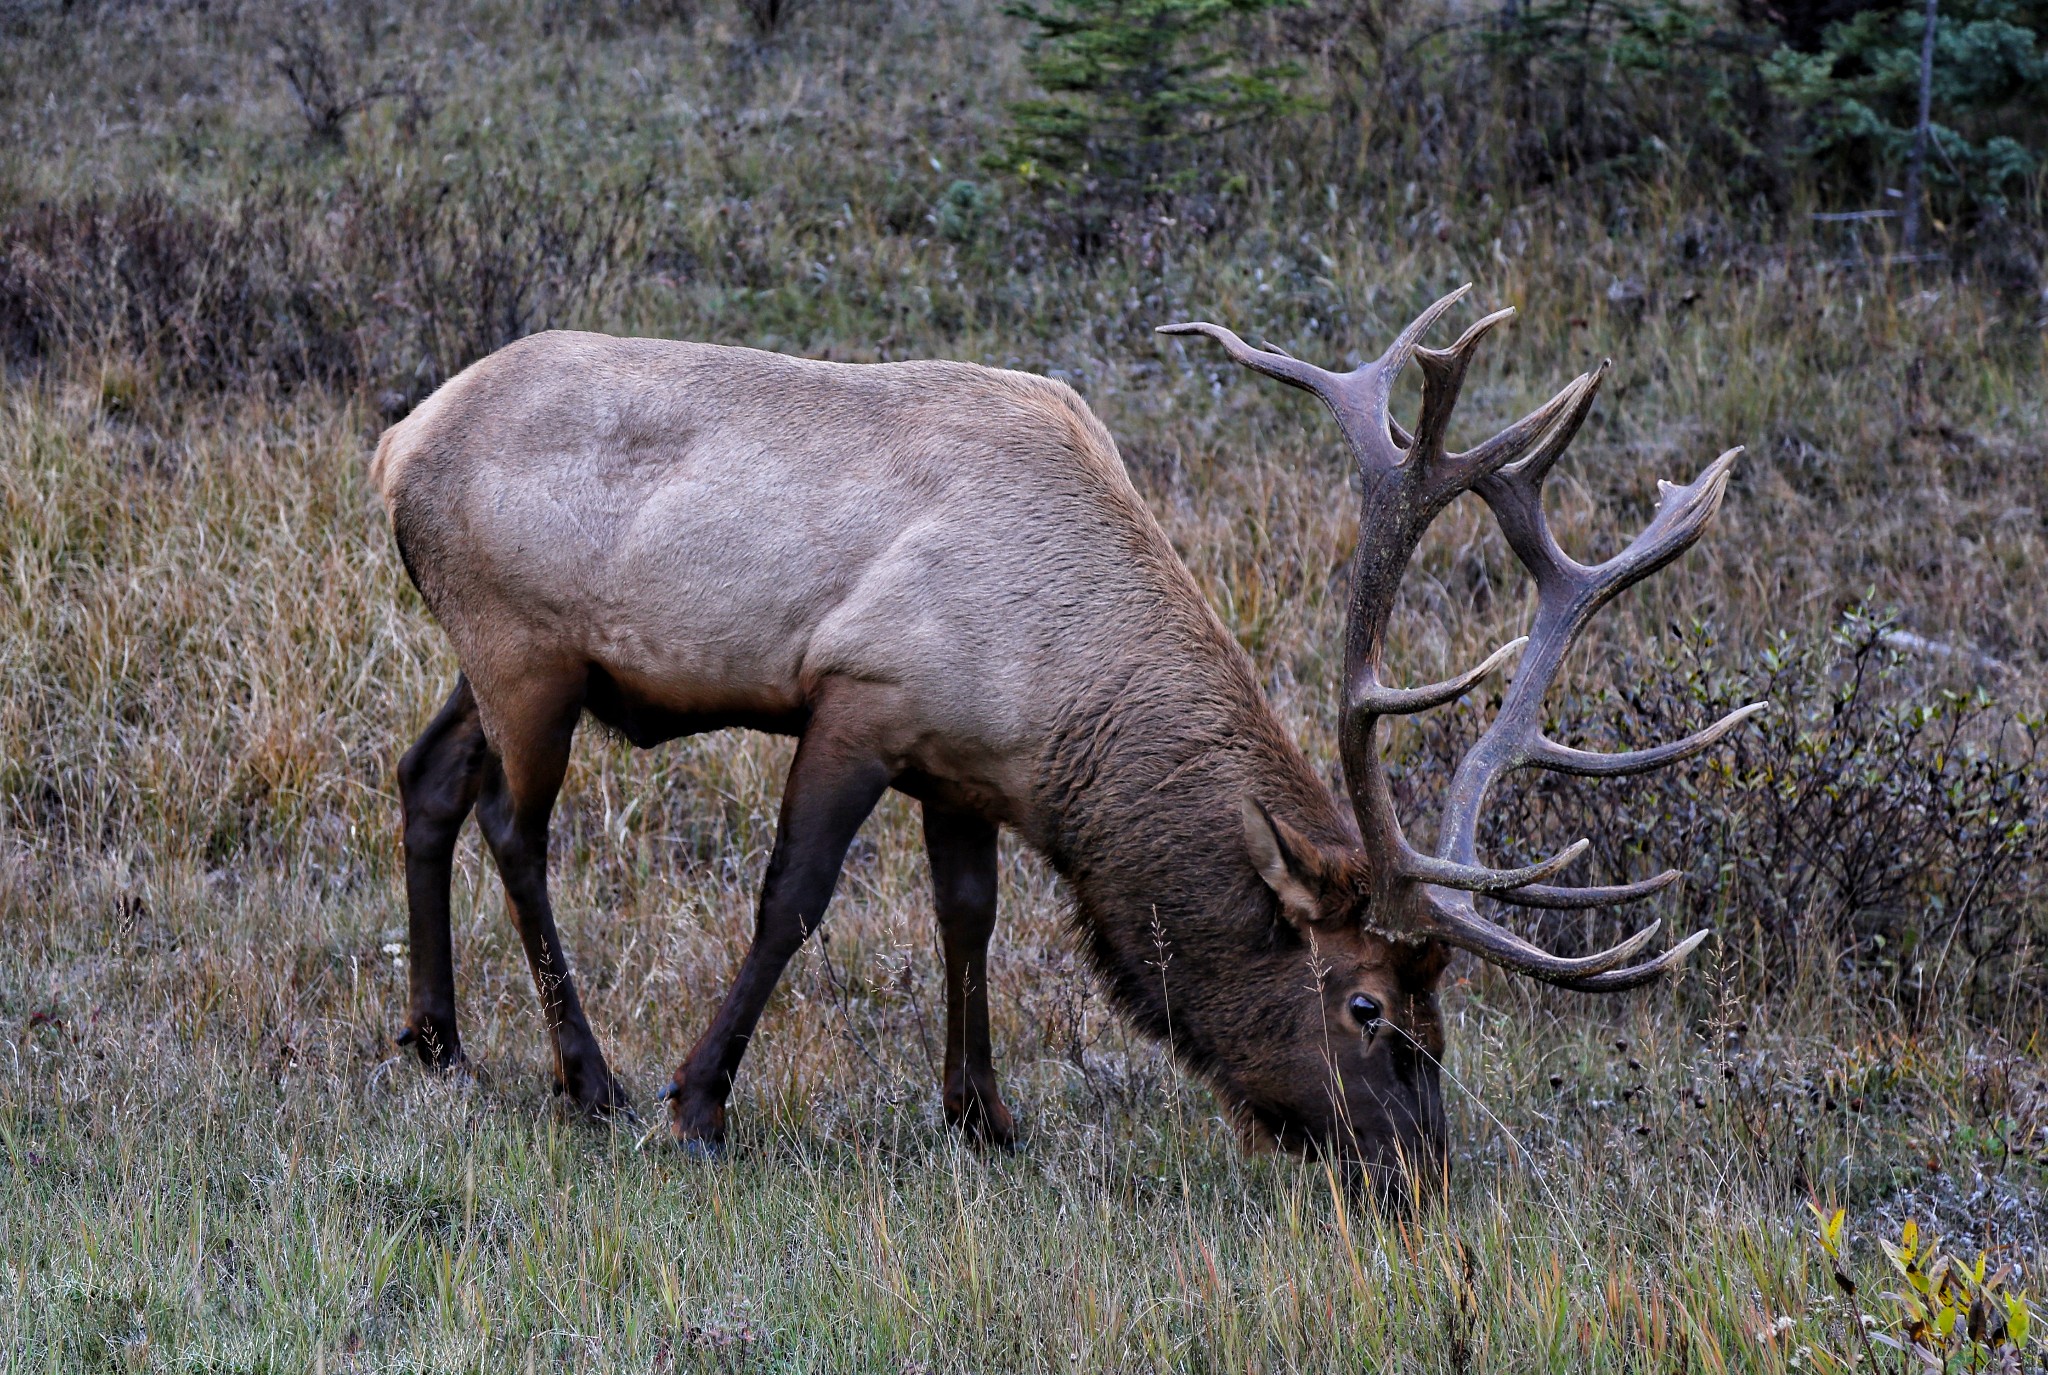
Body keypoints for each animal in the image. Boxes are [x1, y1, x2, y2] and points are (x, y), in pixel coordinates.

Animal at [368, 286, 1761, 1180]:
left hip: (493, 661)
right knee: (514, 825)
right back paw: (588, 1078)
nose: (1418, 1173)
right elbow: (790, 902)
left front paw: (982, 1114)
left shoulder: (959, 766)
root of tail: (395, 446)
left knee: (424, 776)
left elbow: (967, 917)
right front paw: (699, 1101)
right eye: (1366, 1007)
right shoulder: (860, 697)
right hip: (524, 645)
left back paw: (435, 1038)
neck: (1057, 696)